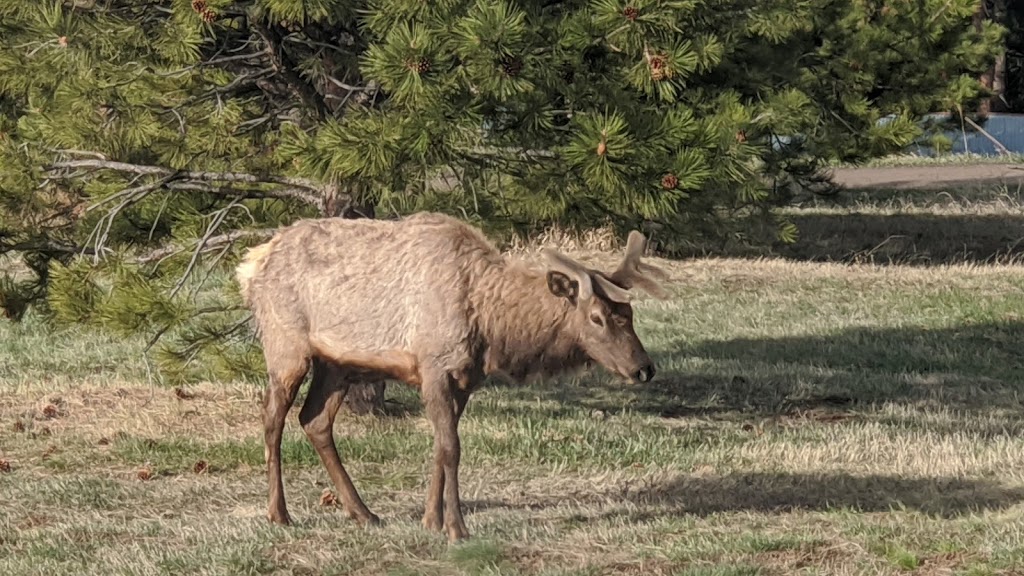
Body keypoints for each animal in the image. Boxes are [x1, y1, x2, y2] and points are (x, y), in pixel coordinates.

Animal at [236, 210, 671, 537]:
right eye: (597, 317)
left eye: (629, 313)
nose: (644, 368)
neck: (491, 328)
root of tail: (250, 264)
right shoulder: (433, 367)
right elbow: (451, 448)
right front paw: (456, 528)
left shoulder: (464, 378)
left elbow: (440, 448)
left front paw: (431, 520)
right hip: (286, 346)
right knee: (272, 417)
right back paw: (279, 513)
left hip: (337, 363)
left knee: (315, 419)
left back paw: (364, 513)